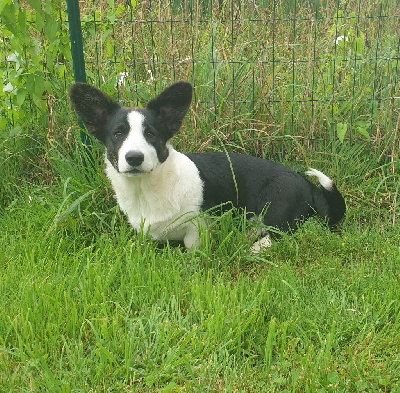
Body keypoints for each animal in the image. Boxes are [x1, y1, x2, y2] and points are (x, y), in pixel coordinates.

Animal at [70, 81, 346, 250]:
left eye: (151, 134)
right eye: (118, 134)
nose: (134, 158)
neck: (147, 188)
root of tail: (308, 186)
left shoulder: (197, 227)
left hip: (275, 208)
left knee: (279, 235)